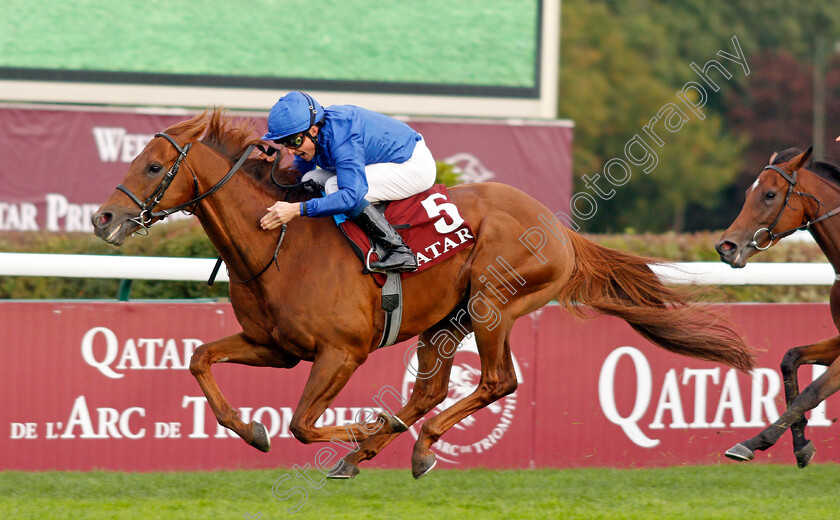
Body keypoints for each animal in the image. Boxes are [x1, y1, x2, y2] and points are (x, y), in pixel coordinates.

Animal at [92, 109, 756, 480]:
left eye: (154, 167)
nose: (102, 218)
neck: (273, 248)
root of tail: (556, 224)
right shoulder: (274, 347)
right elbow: (200, 358)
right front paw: (253, 430)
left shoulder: (341, 352)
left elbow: (304, 423)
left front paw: (356, 429)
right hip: (449, 318)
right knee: (431, 389)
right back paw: (378, 451)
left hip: (495, 303)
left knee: (496, 381)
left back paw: (405, 446)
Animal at [712, 146, 840, 468]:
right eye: (748, 192)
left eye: (770, 194)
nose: (726, 247)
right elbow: (789, 358)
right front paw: (801, 443)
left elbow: (813, 391)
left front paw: (752, 442)